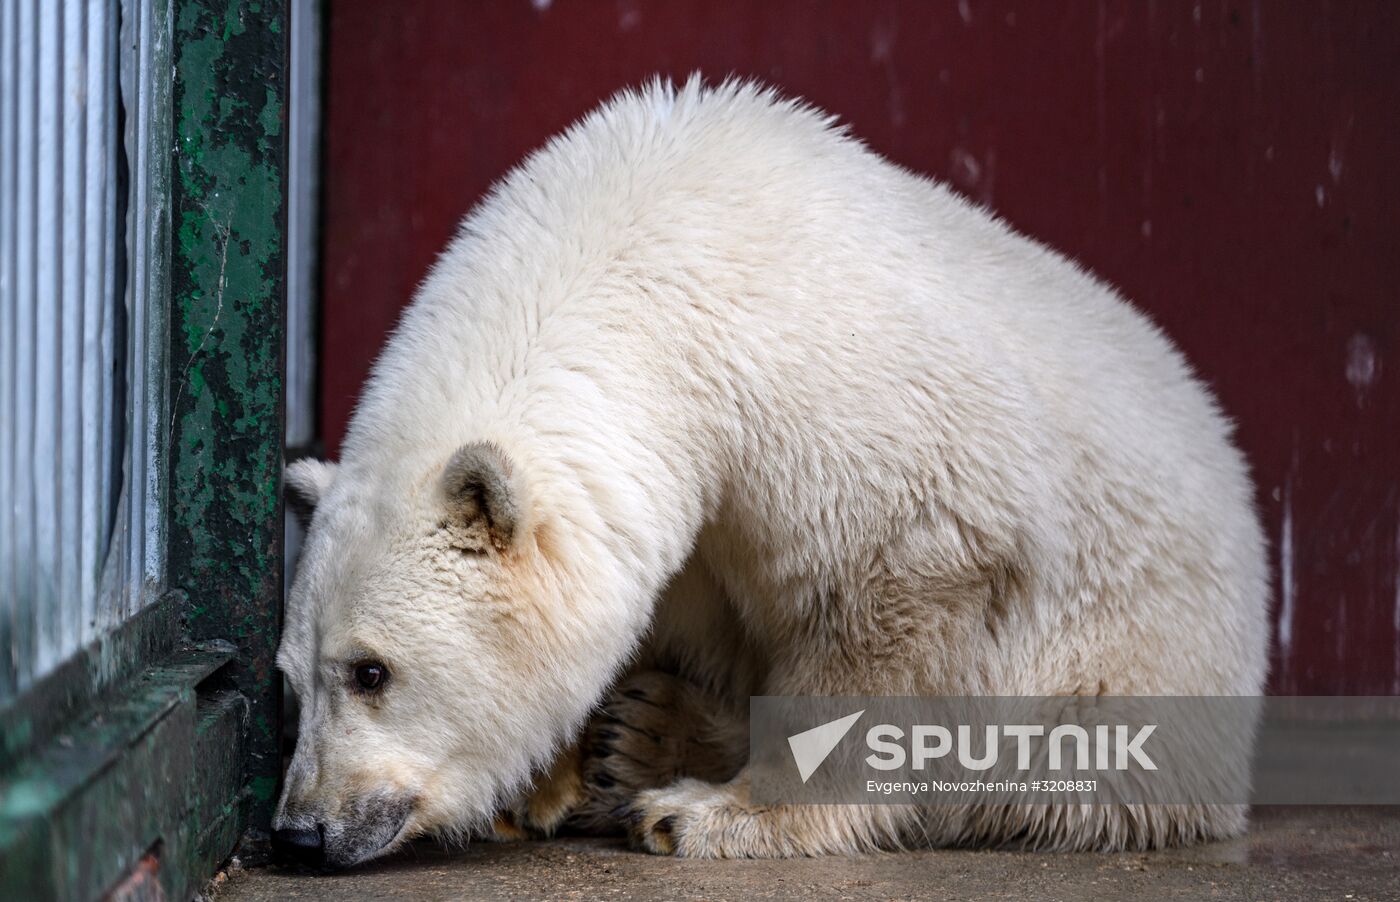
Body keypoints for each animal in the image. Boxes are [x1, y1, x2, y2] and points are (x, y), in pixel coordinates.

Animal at [273, 77, 1271, 868]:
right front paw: (546, 780)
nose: (301, 830)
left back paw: (651, 742)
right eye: (289, 675)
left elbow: (879, 626)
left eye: (370, 671)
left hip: (1118, 681)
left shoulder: (861, 430)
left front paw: (712, 814)